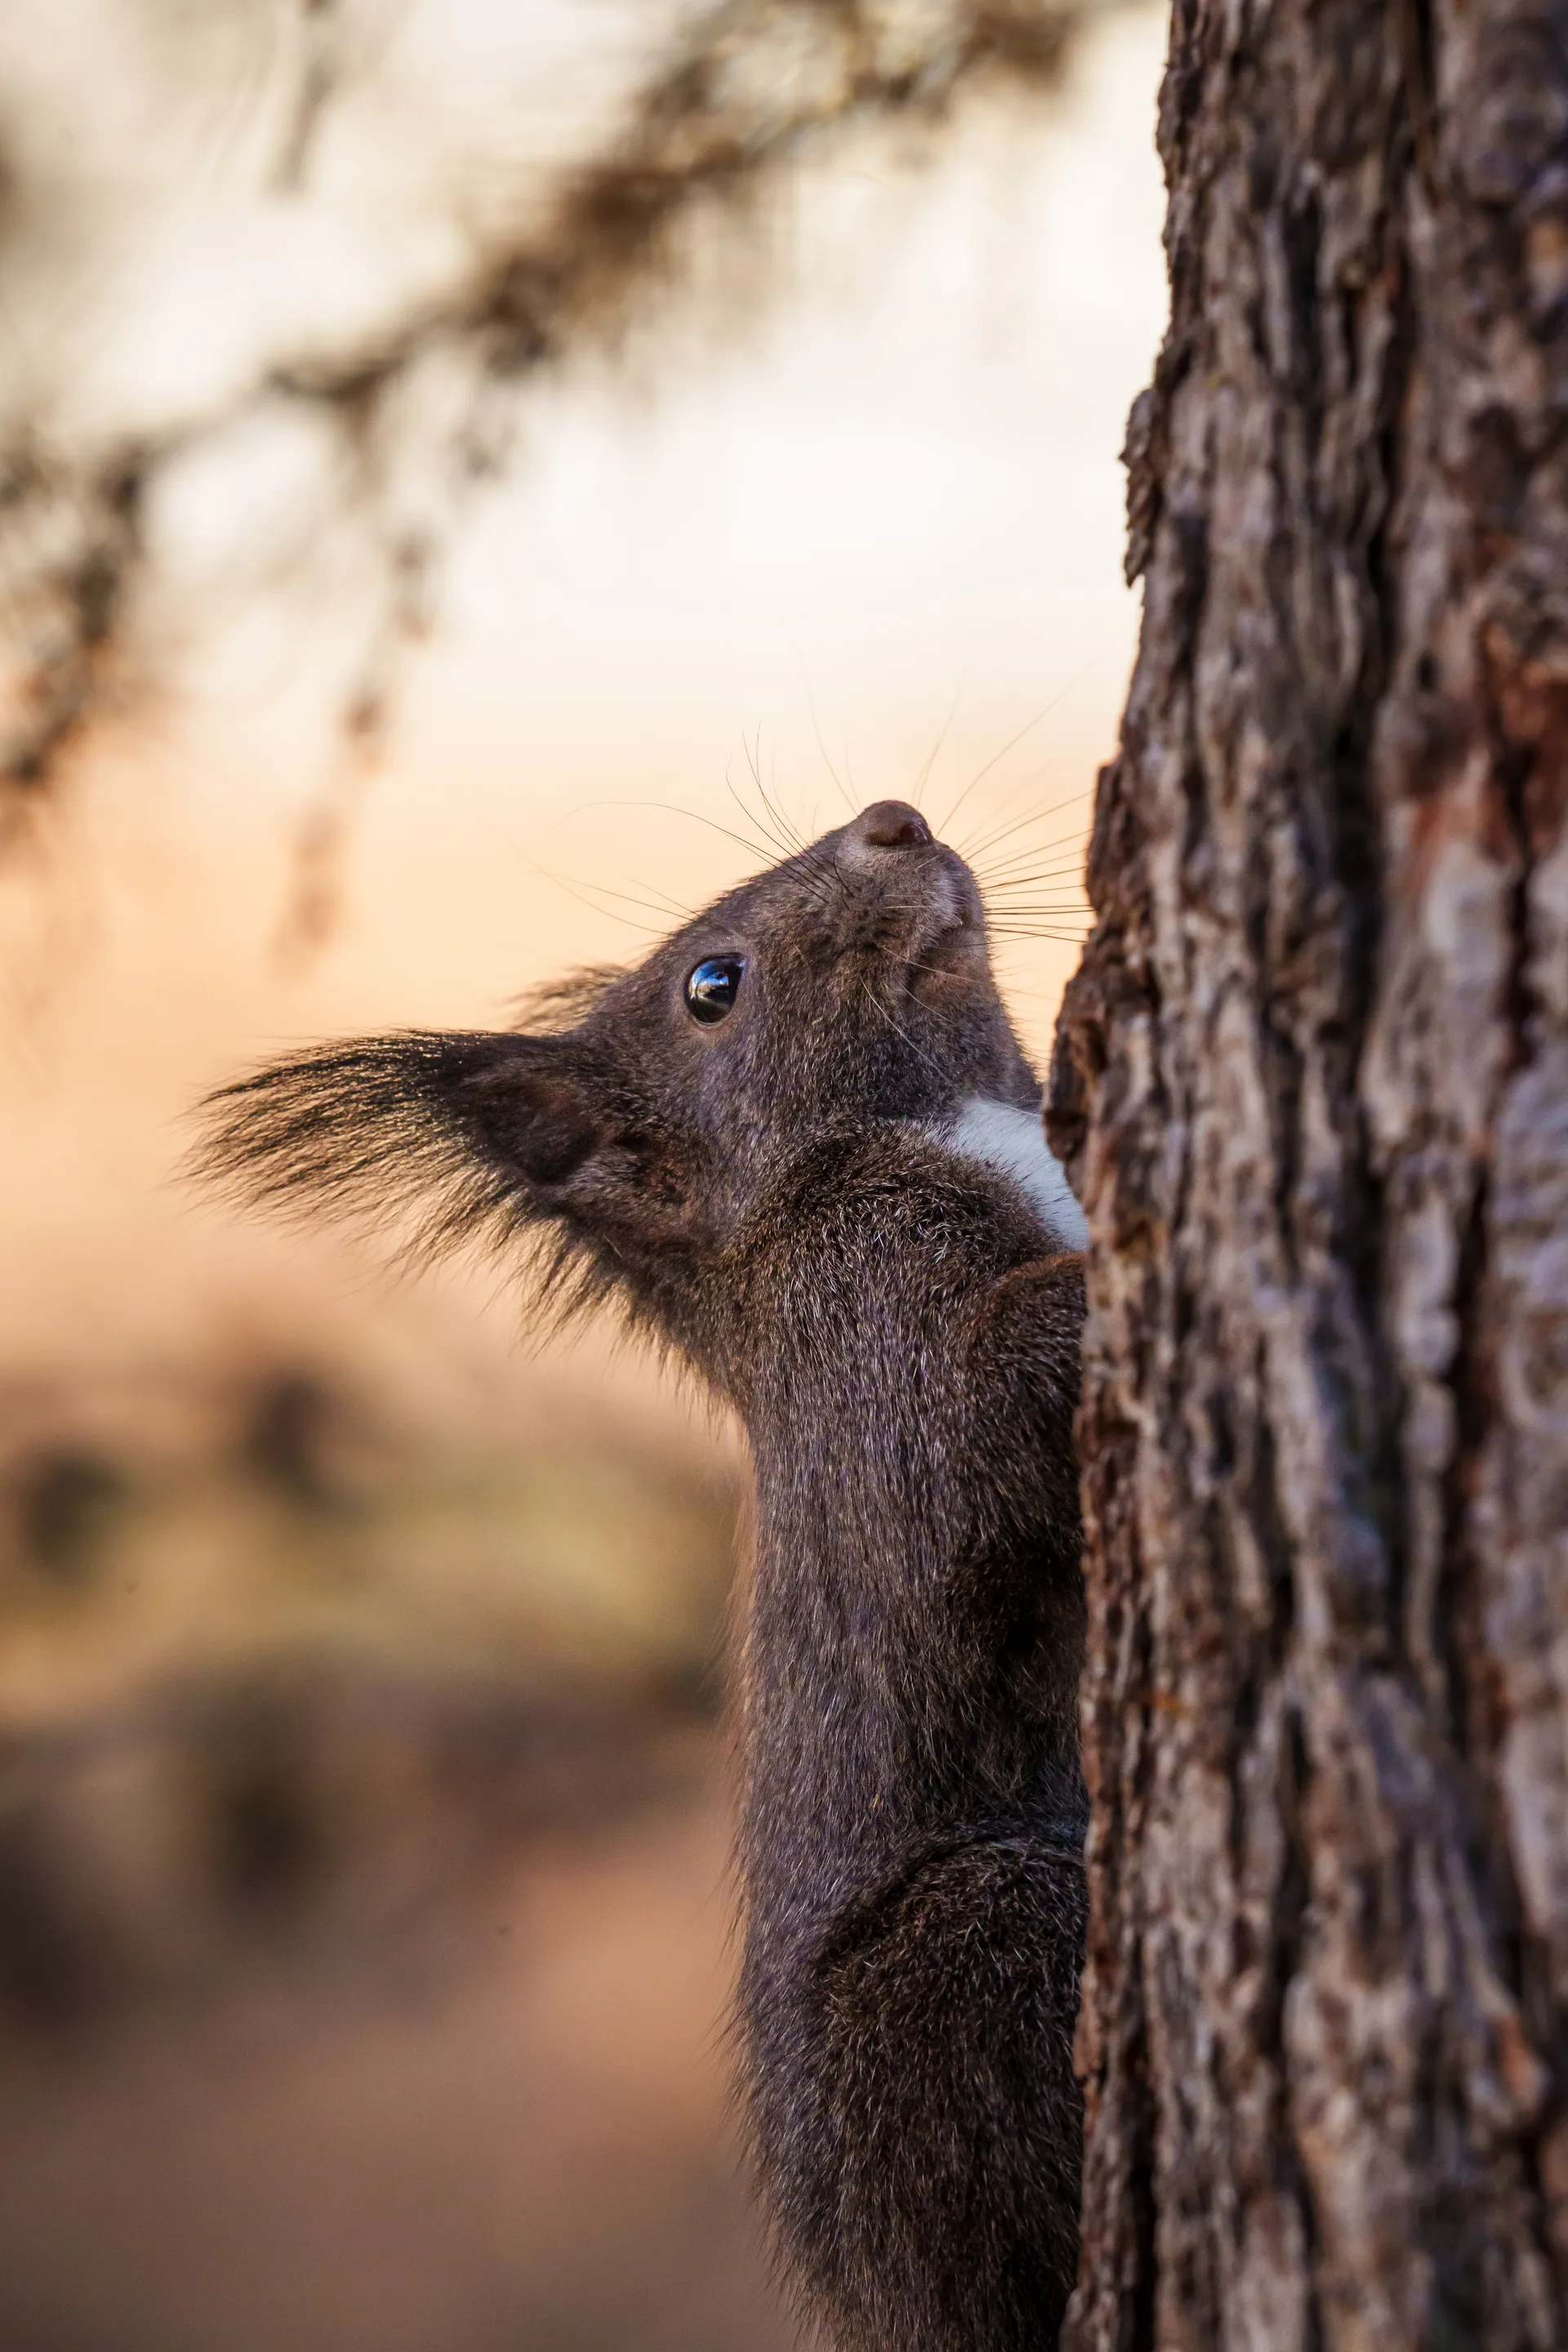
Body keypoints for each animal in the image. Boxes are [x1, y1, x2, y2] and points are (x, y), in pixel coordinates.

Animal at [198, 797, 1089, 2352]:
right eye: (712, 987)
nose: (893, 821)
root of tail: (882, 2303)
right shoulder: (868, 1329)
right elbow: (978, 1441)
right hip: (959, 1959)